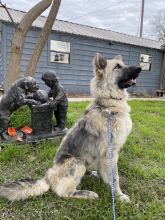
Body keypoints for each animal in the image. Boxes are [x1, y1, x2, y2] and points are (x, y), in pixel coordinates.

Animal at [0, 52, 141, 203]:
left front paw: (106, 183)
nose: (139, 68)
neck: (108, 106)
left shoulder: (105, 155)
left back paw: (92, 174)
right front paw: (120, 196)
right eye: (117, 67)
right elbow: (115, 178)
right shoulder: (110, 153)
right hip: (77, 162)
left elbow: (107, 174)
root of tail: (48, 177)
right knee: (63, 192)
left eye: (123, 64)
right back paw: (87, 194)